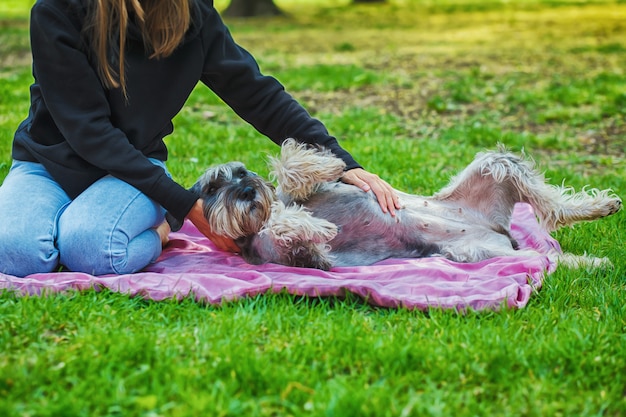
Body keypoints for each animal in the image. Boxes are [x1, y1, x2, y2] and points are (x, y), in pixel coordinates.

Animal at [167, 140, 620, 270]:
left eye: (240, 172)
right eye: (211, 188)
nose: (246, 193)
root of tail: (499, 231)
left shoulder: (300, 193)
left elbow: (289, 166)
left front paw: (323, 163)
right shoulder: (305, 258)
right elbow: (291, 228)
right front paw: (315, 225)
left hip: (496, 165)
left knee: (553, 206)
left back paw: (600, 207)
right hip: (480, 253)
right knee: (544, 258)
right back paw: (596, 262)